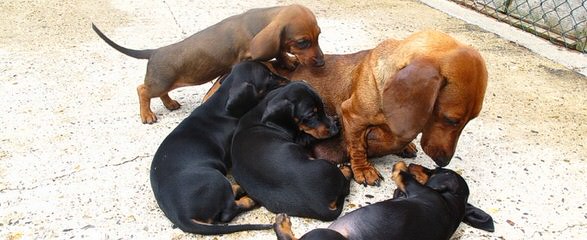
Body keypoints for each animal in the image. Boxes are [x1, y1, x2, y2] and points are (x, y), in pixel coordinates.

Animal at [90, 4, 326, 124]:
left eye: (319, 36)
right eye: (303, 42)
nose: (322, 62)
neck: (261, 21)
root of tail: (154, 52)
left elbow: (279, 52)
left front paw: (287, 60)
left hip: (165, 83)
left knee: (159, 93)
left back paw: (170, 103)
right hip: (159, 82)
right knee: (142, 90)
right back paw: (146, 114)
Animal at [149, 61, 290, 234]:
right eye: (268, 76)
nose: (286, 79)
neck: (220, 107)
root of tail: (180, 216)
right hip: (216, 180)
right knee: (227, 212)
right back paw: (247, 199)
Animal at [230, 82, 350, 221]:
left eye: (322, 107)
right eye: (310, 115)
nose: (334, 128)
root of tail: (319, 207)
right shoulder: (299, 139)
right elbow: (307, 136)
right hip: (326, 167)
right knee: (346, 184)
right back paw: (346, 169)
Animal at [272, 30, 492, 187]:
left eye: (470, 120)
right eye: (450, 119)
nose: (443, 162)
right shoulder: (352, 115)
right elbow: (358, 145)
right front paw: (363, 169)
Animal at [274, 161, 494, 240]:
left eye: (436, 170)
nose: (415, 164)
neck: (452, 201)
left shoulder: (416, 188)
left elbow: (402, 174)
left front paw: (401, 165)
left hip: (324, 234)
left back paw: (282, 224)